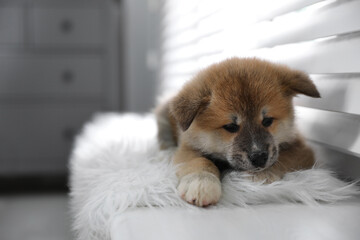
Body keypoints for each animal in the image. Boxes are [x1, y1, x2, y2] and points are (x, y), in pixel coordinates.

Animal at [156, 57, 320, 206]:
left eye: (267, 121)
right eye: (231, 127)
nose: (259, 157)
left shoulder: (301, 149)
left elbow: (283, 159)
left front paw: (259, 176)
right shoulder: (188, 147)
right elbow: (199, 160)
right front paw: (201, 181)